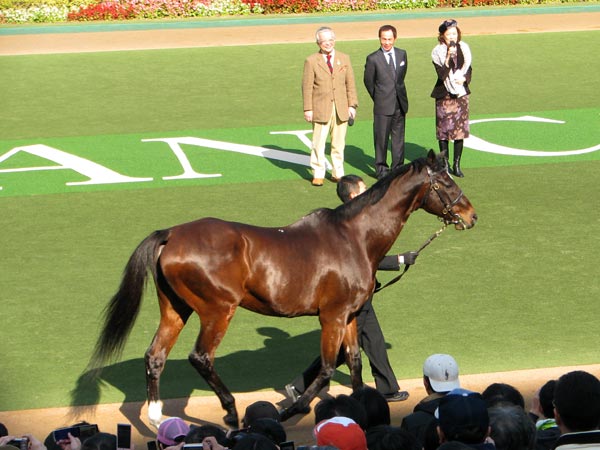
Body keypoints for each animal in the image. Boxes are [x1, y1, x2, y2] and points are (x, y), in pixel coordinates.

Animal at [88, 150, 478, 428]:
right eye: (445, 182)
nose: (471, 215)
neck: (354, 238)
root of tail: (171, 234)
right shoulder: (332, 316)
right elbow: (325, 369)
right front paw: (290, 410)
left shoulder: (350, 315)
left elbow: (354, 362)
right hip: (218, 310)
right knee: (201, 357)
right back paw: (231, 411)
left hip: (175, 307)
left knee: (155, 356)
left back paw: (156, 417)